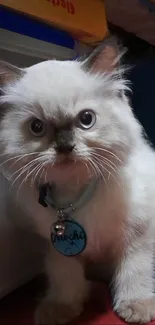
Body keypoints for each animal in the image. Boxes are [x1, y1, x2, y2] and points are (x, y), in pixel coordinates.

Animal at [0, 36, 155, 322]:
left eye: (86, 119)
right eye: (37, 127)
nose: (65, 147)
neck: (73, 194)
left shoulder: (139, 235)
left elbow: (134, 271)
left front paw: (136, 307)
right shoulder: (55, 246)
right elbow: (65, 279)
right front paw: (61, 309)